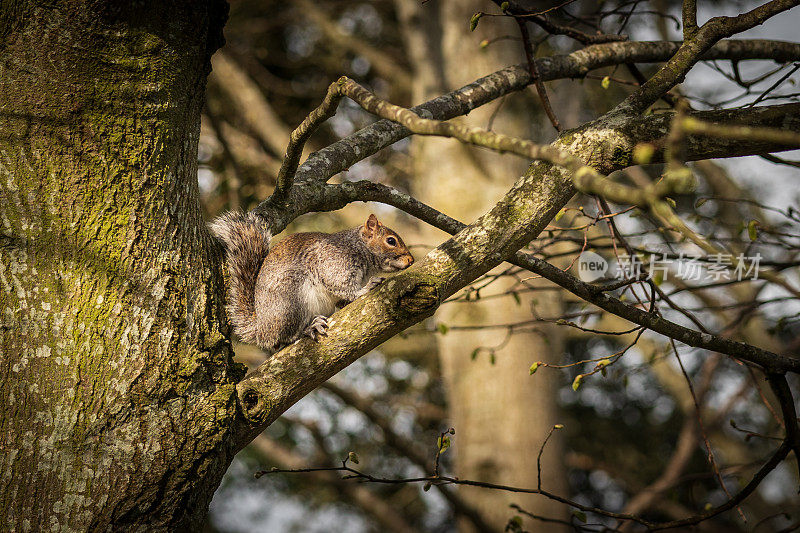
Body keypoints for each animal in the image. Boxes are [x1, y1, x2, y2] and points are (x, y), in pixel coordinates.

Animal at [209, 211, 416, 354]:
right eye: (391, 241)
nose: (411, 260)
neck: (359, 247)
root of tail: (261, 328)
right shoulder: (334, 262)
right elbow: (339, 284)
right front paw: (364, 289)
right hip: (290, 299)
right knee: (287, 336)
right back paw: (308, 328)